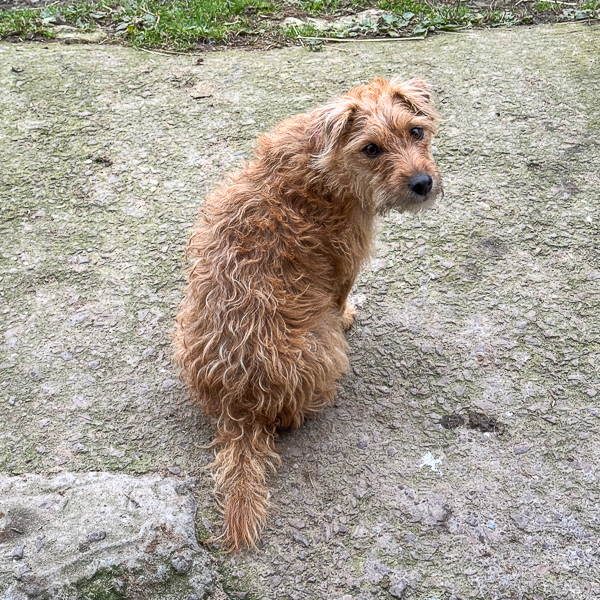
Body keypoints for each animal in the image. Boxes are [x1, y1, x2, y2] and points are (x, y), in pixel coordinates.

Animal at [174, 77, 442, 551]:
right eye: (370, 149)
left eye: (416, 131)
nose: (423, 183)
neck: (322, 169)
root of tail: (239, 408)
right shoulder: (342, 266)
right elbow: (341, 299)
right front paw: (349, 316)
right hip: (323, 348)